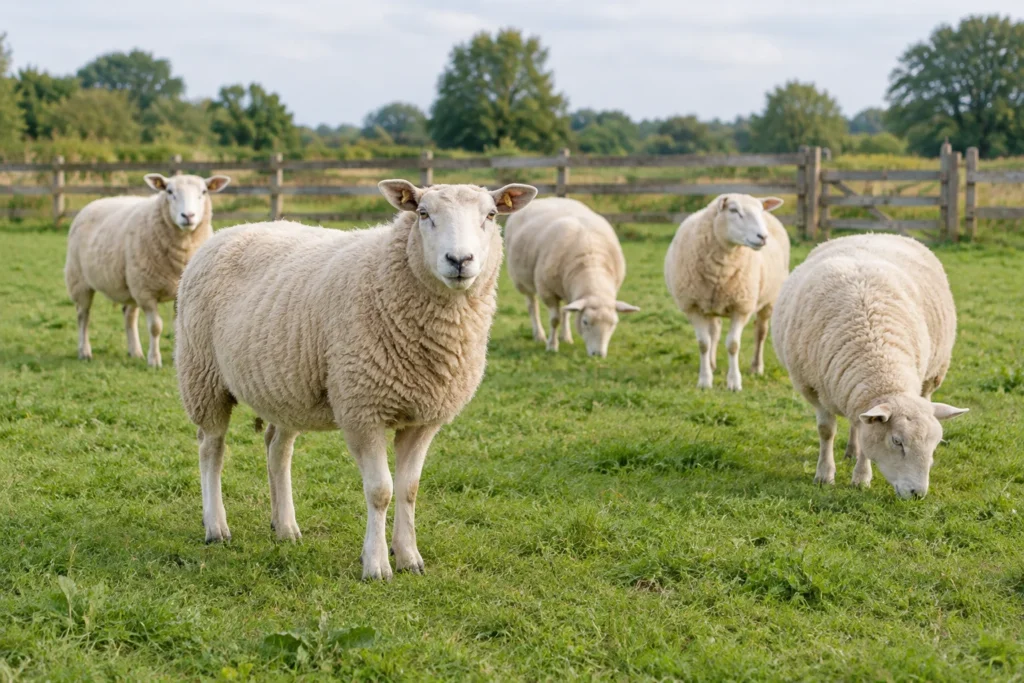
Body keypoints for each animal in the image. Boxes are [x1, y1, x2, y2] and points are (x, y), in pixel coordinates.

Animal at [64, 173, 231, 367]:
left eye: (204, 192)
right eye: (169, 191)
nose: (188, 216)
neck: (183, 249)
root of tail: (96, 202)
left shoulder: (176, 293)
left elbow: (176, 328)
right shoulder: (146, 292)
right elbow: (155, 327)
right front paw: (154, 360)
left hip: (130, 284)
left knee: (129, 315)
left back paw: (135, 352)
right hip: (79, 280)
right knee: (83, 316)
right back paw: (85, 351)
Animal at [174, 180, 538, 581]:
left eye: (491, 215)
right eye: (423, 213)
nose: (459, 260)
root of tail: (230, 231)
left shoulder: (424, 419)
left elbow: (409, 489)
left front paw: (409, 557)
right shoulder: (363, 409)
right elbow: (380, 490)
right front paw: (376, 564)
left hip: (285, 385)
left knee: (277, 449)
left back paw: (285, 526)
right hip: (202, 374)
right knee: (212, 448)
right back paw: (216, 527)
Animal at [504, 197, 639, 357]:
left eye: (613, 324)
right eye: (585, 322)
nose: (598, 355)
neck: (591, 261)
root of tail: (544, 199)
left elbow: (566, 313)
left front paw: (565, 338)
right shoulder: (547, 291)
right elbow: (554, 320)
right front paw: (552, 345)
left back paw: (565, 336)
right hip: (522, 281)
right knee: (532, 306)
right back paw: (539, 335)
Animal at [664, 193, 790, 391]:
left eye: (760, 210)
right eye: (733, 210)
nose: (763, 237)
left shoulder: (741, 307)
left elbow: (733, 345)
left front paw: (734, 382)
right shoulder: (693, 307)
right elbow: (703, 343)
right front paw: (705, 380)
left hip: (770, 300)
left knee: (761, 332)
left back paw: (756, 367)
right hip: (711, 303)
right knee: (714, 331)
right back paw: (712, 363)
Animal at [771, 234, 968, 498]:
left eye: (935, 444)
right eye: (897, 441)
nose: (917, 494)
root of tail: (872, 233)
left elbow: (866, 440)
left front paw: (861, 478)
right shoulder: (813, 389)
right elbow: (826, 431)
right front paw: (824, 475)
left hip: (932, 375)